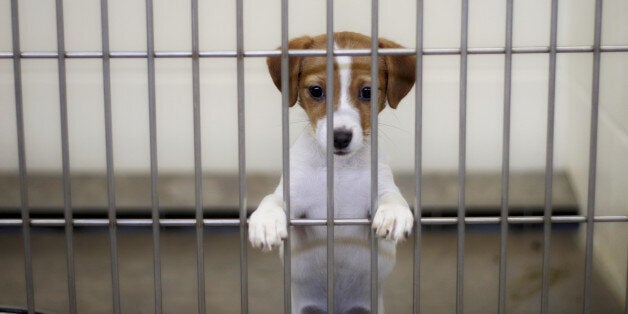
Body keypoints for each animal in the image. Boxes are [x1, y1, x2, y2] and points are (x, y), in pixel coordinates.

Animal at [249, 32, 418, 314]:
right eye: (316, 91)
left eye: (367, 92)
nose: (340, 137)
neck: (339, 171)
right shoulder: (296, 201)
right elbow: (272, 200)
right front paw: (266, 221)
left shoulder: (379, 188)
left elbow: (392, 197)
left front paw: (394, 215)